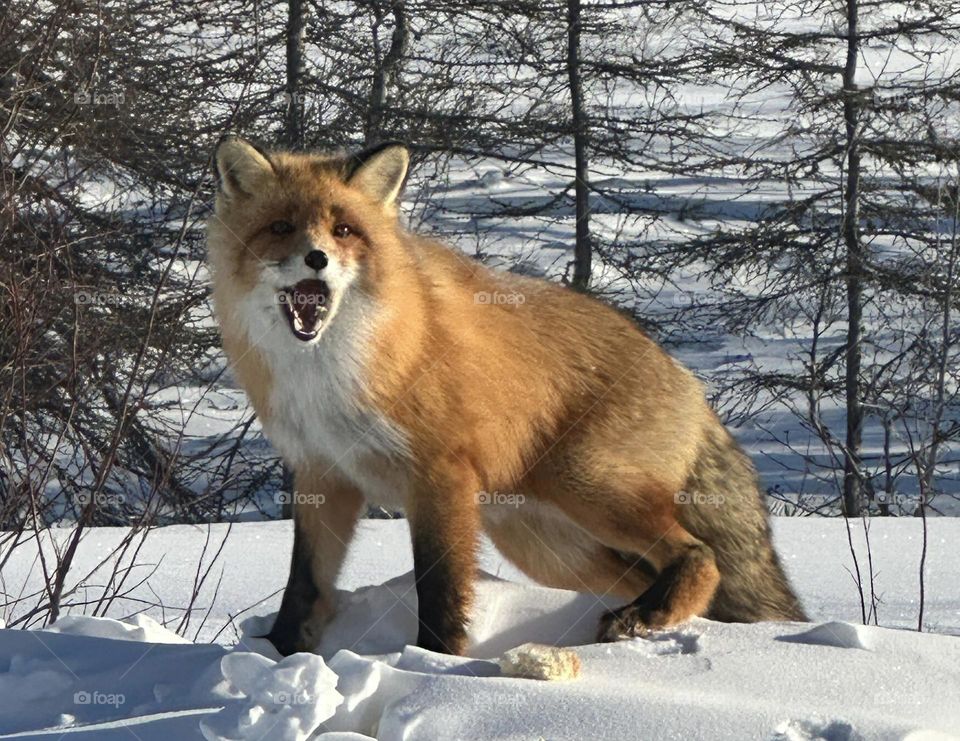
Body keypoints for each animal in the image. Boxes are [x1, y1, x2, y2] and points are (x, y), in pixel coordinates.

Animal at [207, 135, 806, 657]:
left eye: (345, 229)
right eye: (281, 227)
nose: (316, 258)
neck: (328, 370)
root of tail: (686, 377)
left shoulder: (441, 475)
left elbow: (441, 586)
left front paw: (436, 661)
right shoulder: (322, 475)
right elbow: (304, 586)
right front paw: (278, 654)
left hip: (588, 489)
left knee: (702, 556)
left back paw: (649, 616)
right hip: (546, 545)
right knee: (650, 573)